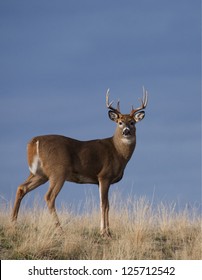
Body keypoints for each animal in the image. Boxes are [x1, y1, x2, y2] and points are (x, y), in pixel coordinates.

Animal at [11, 88, 148, 236]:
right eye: (120, 122)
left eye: (132, 122)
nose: (126, 131)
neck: (118, 152)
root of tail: (34, 141)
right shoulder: (104, 175)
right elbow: (105, 204)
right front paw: (105, 232)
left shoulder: (98, 180)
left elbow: (103, 204)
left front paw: (105, 230)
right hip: (58, 171)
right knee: (49, 197)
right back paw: (60, 229)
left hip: (39, 173)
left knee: (21, 188)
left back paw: (13, 222)